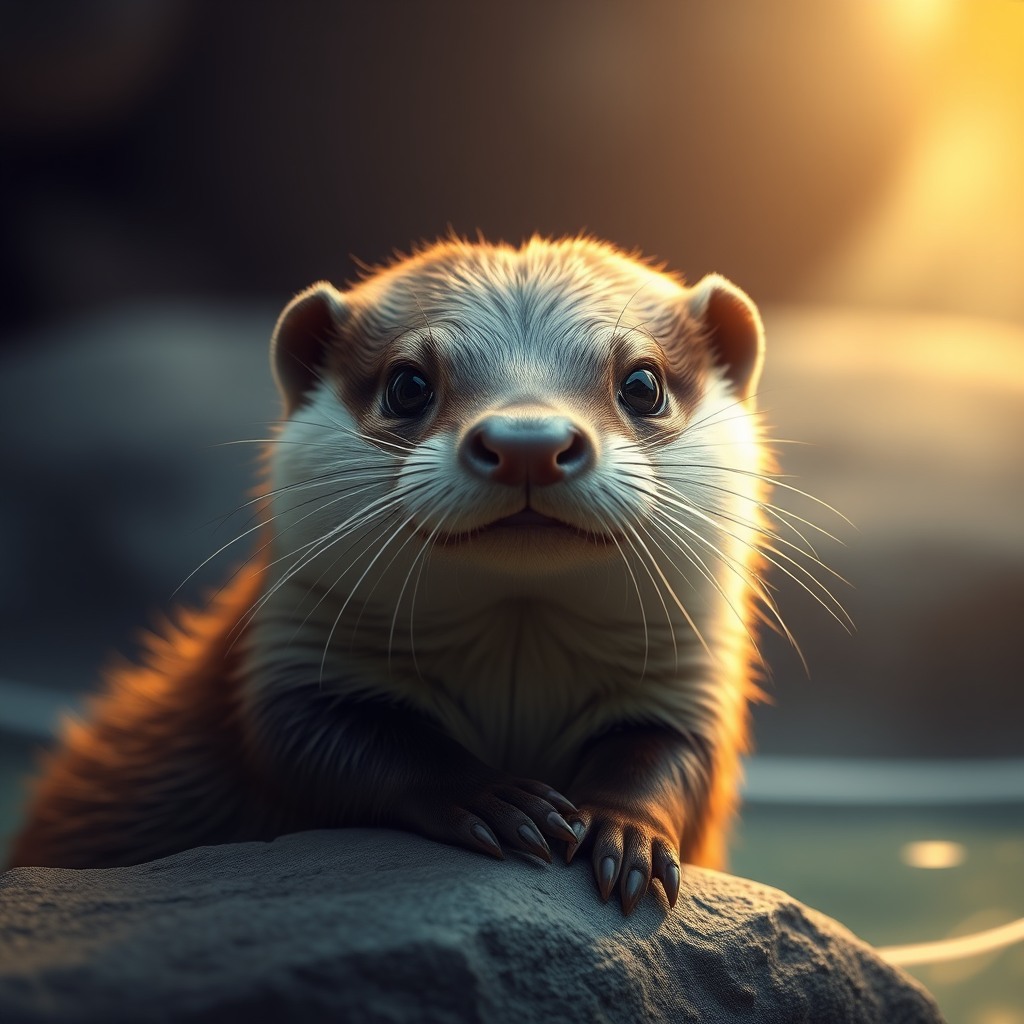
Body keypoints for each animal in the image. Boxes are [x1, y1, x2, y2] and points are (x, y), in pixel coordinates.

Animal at [10, 236, 804, 914]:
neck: (517, 676)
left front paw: (627, 834)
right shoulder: (286, 660)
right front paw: (495, 800)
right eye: (408, 384)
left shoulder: (693, 682)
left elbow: (675, 759)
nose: (528, 441)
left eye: (642, 383)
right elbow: (330, 744)